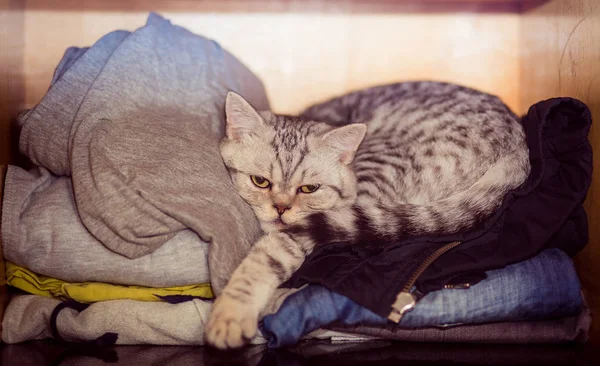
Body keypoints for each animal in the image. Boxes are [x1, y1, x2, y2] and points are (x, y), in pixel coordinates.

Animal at [205, 82, 528, 348]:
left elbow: (265, 259)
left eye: (309, 188)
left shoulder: (306, 228)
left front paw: (231, 313)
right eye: (260, 182)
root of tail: (517, 150)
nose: (281, 208)